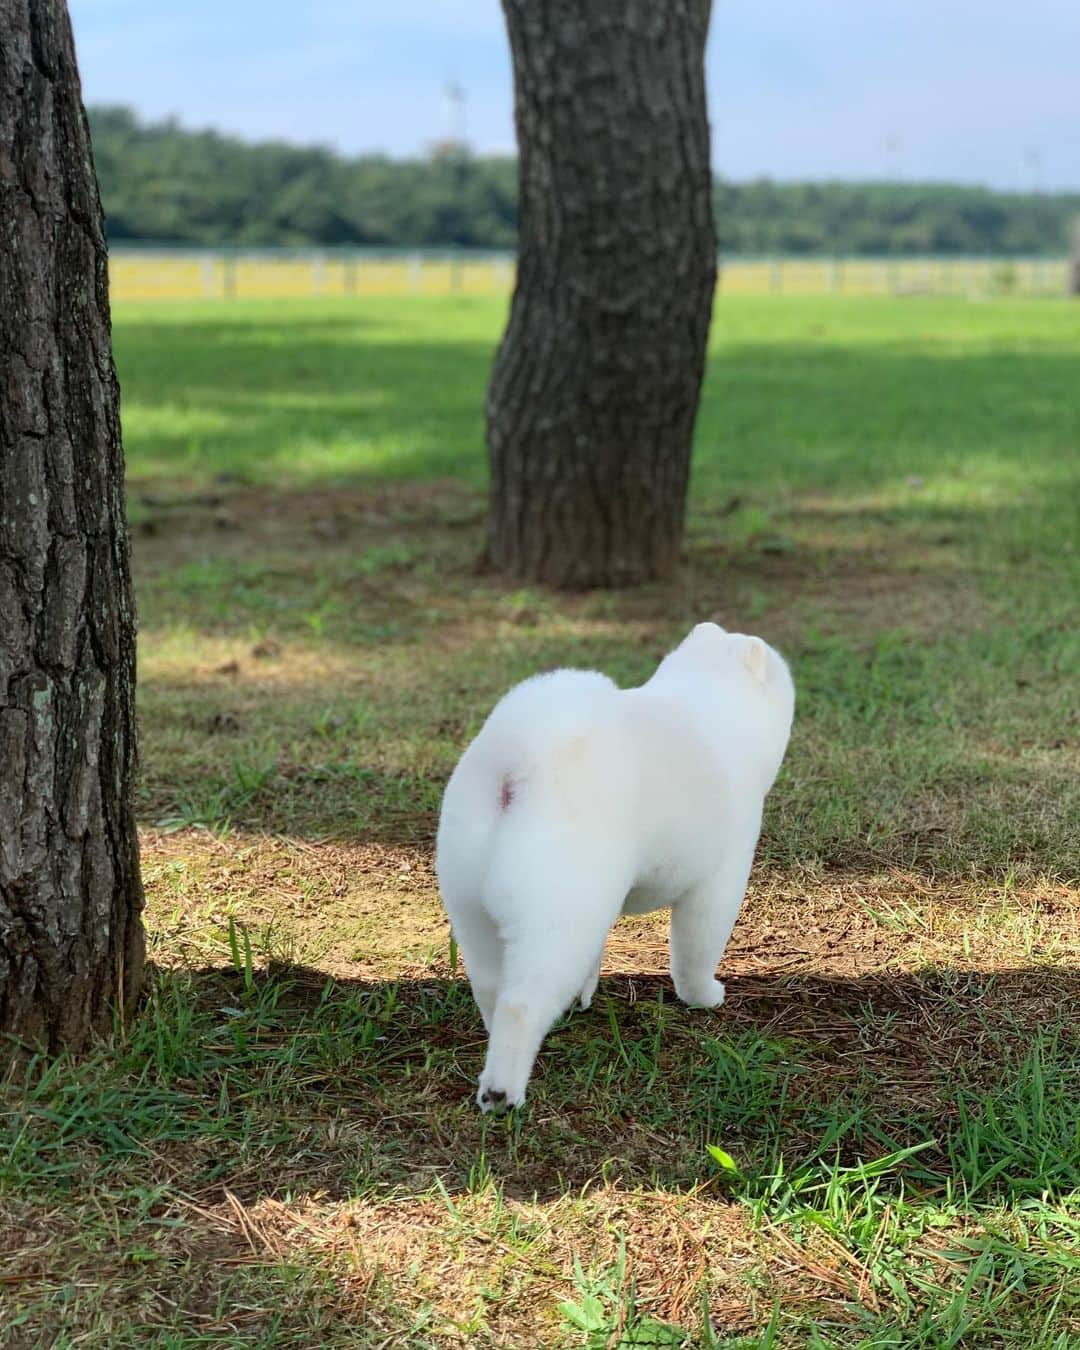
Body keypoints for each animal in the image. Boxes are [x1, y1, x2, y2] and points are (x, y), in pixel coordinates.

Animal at [434, 621, 799, 1107]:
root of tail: (515, 766)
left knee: (491, 985)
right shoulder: (719, 880)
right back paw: (503, 1091)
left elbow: (598, 952)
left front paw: (585, 994)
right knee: (520, 1003)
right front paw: (704, 997)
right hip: (555, 909)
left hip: (472, 902)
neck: (714, 701)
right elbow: (696, 952)